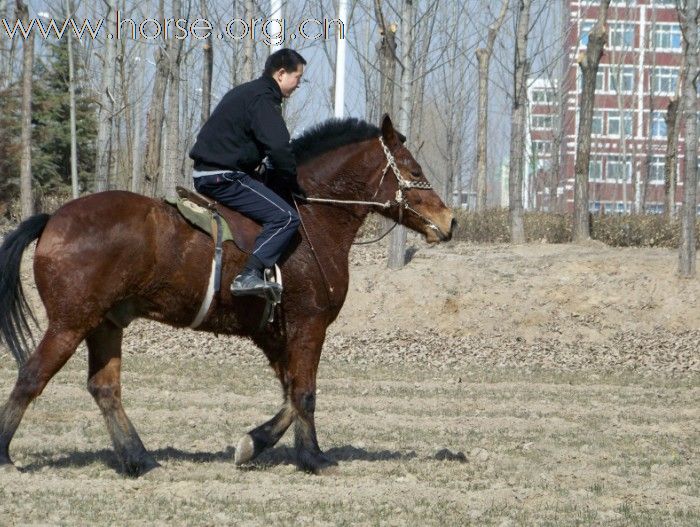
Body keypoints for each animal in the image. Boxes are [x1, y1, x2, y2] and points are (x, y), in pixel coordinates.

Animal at [0, 115, 454, 478]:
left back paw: (139, 459)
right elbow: (304, 393)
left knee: (105, 389)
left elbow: (290, 393)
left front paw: (254, 443)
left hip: (105, 324)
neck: (311, 218)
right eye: (412, 168)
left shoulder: (274, 335)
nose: (449, 220)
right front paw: (313, 458)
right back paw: (6, 456)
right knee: (31, 377)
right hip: (70, 323)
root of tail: (53, 219)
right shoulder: (309, 325)